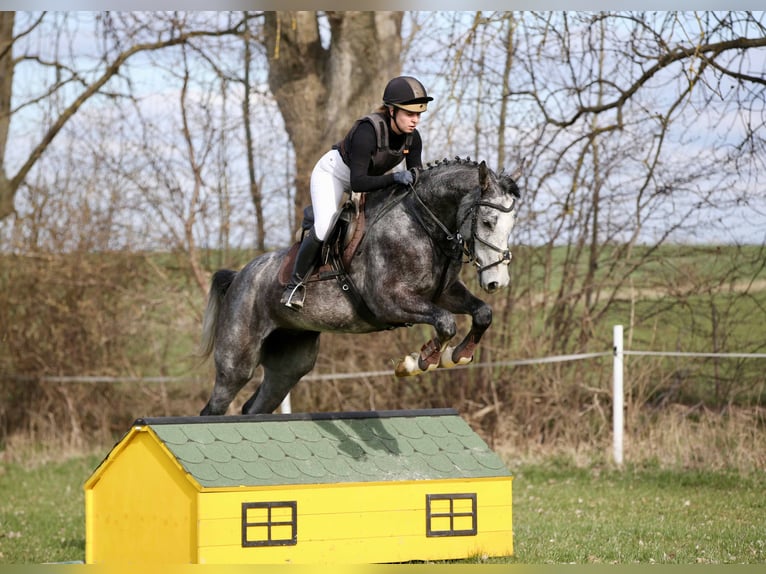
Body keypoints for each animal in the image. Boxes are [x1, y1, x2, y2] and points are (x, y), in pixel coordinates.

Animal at [198, 157, 521, 416]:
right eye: (488, 222)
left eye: (511, 225)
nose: (497, 282)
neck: (423, 225)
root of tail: (238, 277)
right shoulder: (389, 302)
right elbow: (445, 322)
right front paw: (421, 361)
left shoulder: (444, 293)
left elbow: (482, 313)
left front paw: (458, 355)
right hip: (237, 362)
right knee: (214, 407)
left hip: (290, 364)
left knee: (255, 406)